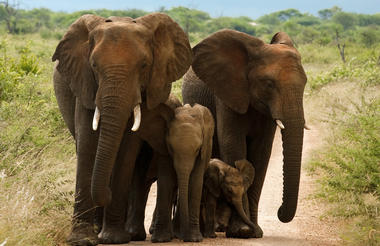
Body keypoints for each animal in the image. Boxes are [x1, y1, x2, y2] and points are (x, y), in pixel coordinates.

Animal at [52, 13, 191, 246]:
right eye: (94, 65)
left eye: (144, 65)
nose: (105, 195)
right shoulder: (86, 84)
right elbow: (88, 143)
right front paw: (81, 240)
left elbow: (127, 149)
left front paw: (114, 239)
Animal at [182, 29, 308, 238]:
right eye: (269, 84)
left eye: (305, 83)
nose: (279, 211)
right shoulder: (227, 94)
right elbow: (233, 145)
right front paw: (243, 231)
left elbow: (261, 154)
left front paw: (254, 231)